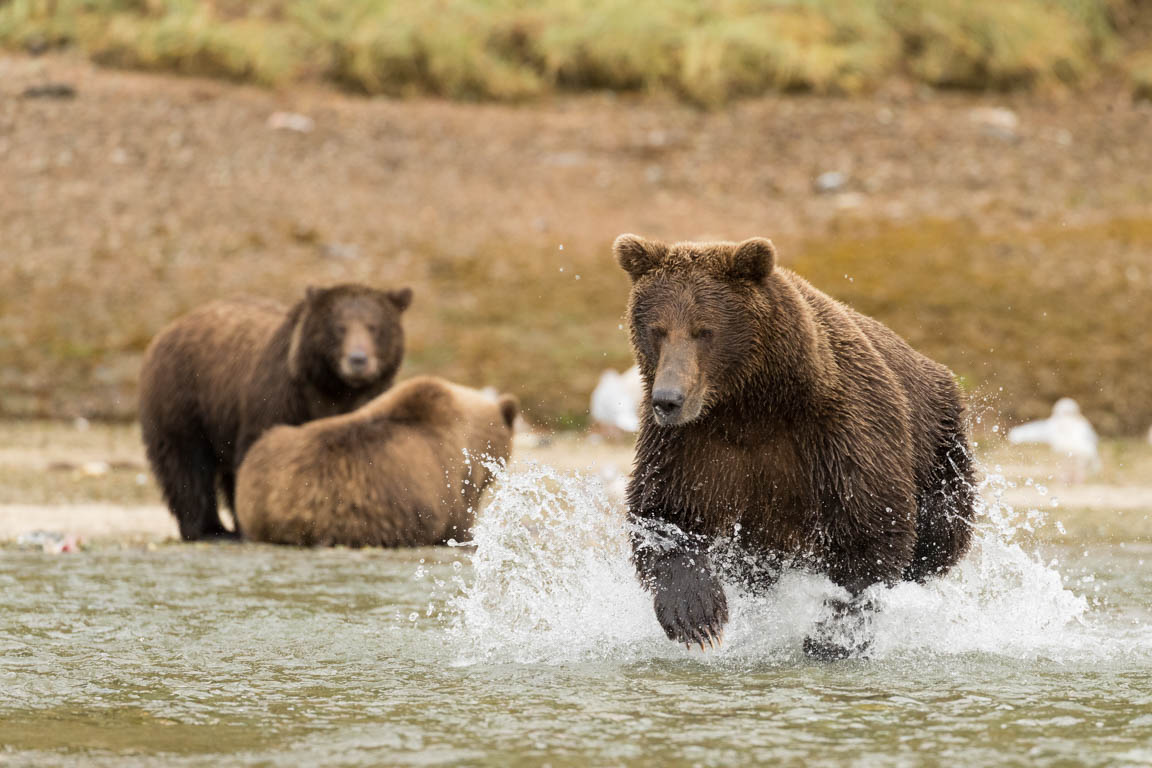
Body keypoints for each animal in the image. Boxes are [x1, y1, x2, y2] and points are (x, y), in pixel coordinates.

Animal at [138, 282, 414, 541]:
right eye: (340, 327)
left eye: (374, 326)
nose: (358, 360)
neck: (333, 389)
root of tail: (169, 328)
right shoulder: (278, 400)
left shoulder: (368, 404)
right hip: (184, 397)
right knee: (185, 463)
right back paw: (210, 530)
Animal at [617, 236, 976, 663]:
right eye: (657, 330)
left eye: (704, 330)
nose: (668, 400)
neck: (751, 407)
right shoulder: (690, 445)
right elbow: (665, 514)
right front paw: (697, 617)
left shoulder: (839, 429)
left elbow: (869, 530)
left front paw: (831, 639)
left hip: (940, 451)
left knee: (937, 540)